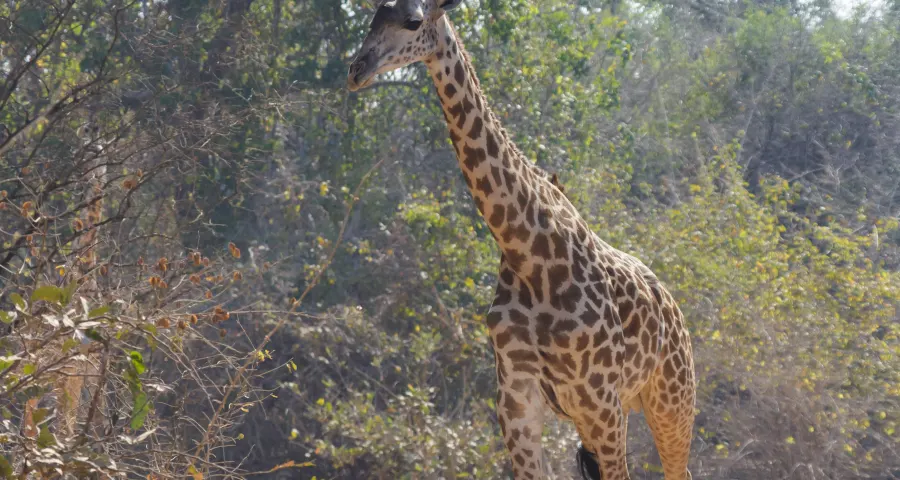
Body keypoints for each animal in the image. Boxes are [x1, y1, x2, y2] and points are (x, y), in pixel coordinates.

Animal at [348, 1, 696, 479]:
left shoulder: (601, 402)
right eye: (373, 16)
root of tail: (674, 311)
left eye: (413, 21)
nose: (357, 69)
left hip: (671, 402)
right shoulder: (517, 402)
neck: (528, 253)